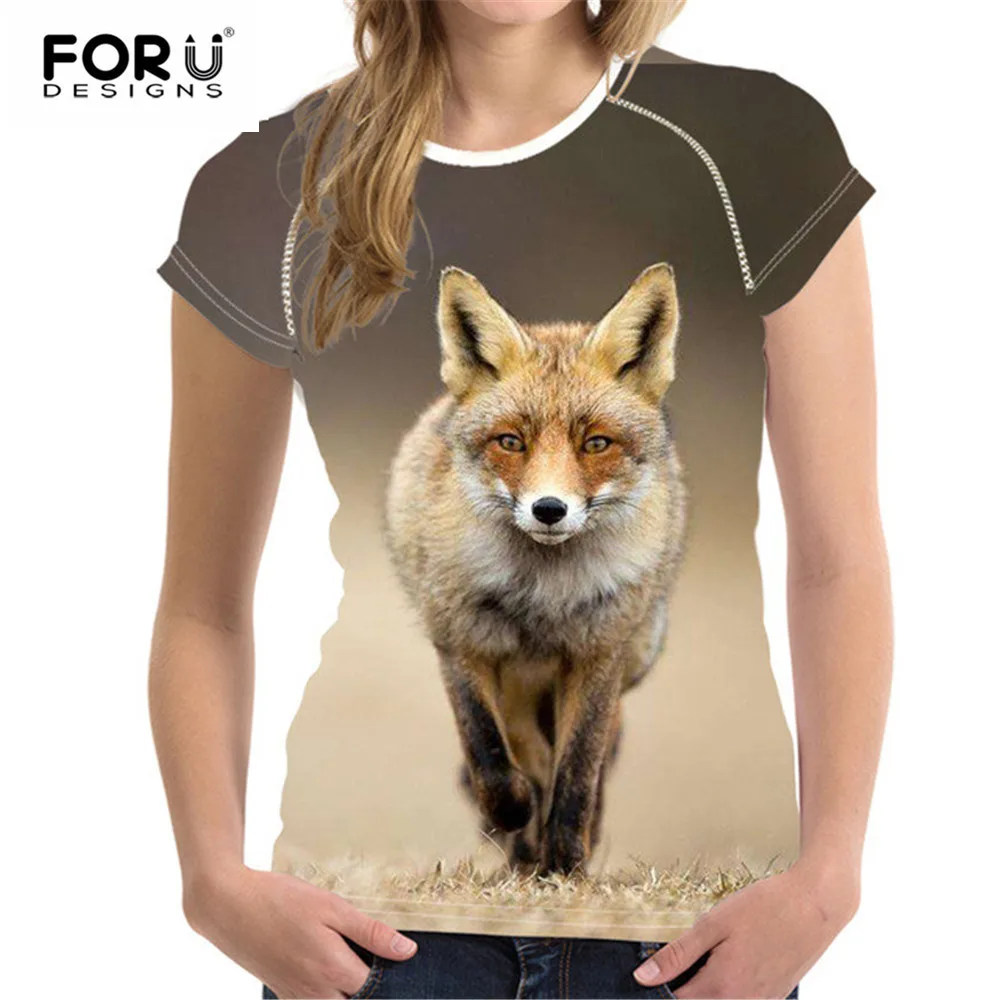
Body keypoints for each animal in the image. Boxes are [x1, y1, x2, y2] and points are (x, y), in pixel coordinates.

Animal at [384, 263, 688, 876]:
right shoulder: (462, 645)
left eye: (596, 443)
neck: (542, 594)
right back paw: (521, 846)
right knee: (524, 751)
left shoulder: (598, 654)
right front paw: (515, 817)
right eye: (511, 442)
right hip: (519, 679)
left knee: (597, 754)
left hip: (630, 656)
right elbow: (490, 757)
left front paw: (568, 864)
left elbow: (578, 772)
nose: (550, 509)